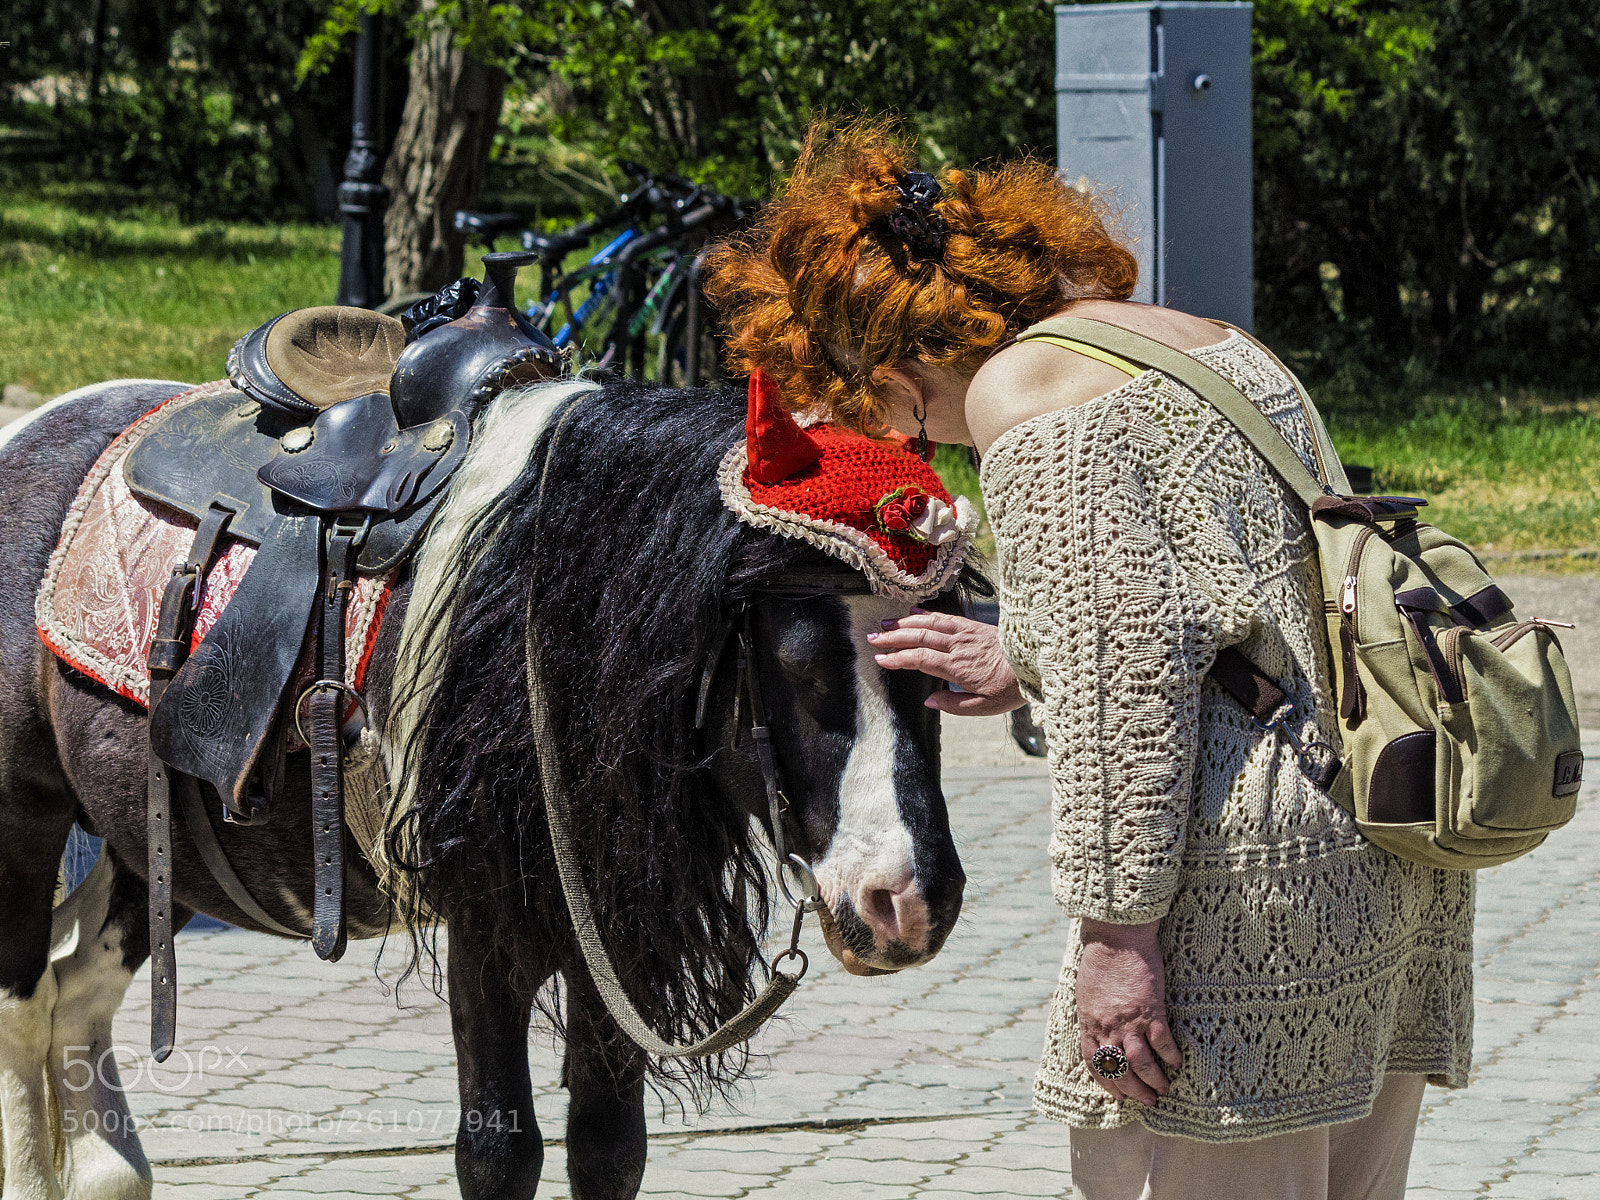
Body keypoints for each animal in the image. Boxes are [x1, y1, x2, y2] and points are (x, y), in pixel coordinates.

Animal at [0, 372, 979, 1200]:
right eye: (798, 665)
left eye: (938, 671)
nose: (908, 900)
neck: (530, 629)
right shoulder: (484, 922)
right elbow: (499, 1152)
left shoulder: (608, 927)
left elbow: (609, 1144)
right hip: (29, 815)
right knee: (25, 1001)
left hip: (137, 838)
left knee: (79, 990)